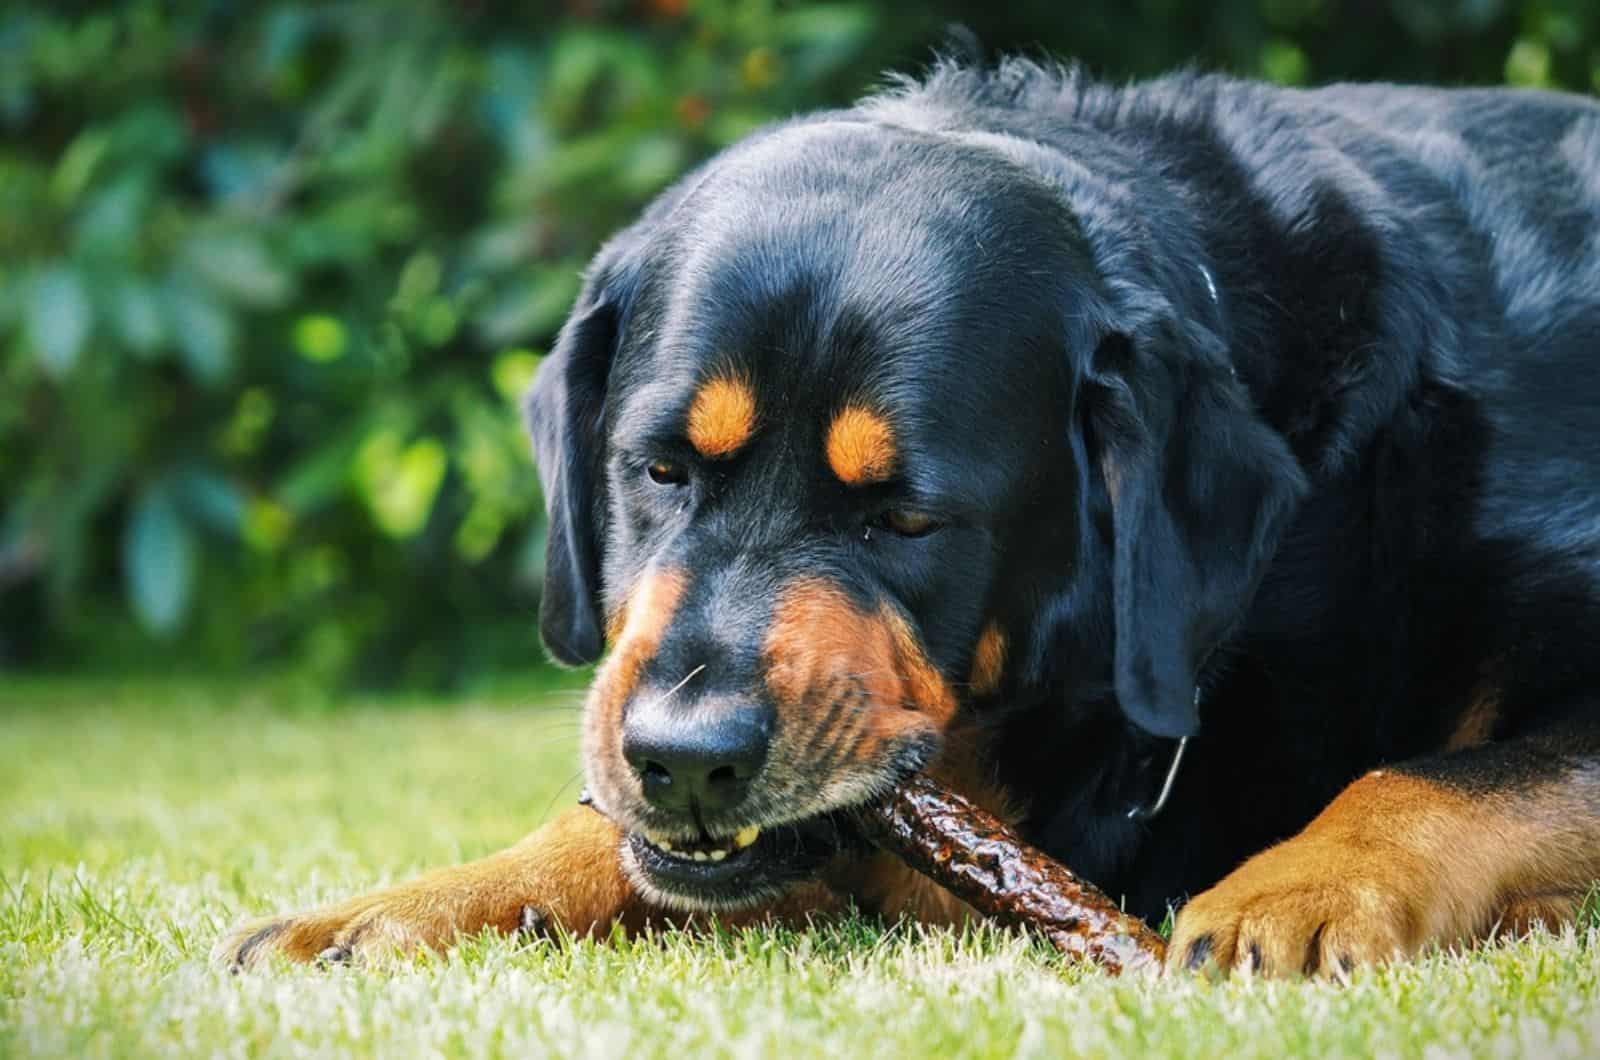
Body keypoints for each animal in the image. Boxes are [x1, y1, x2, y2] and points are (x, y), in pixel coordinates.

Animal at [216, 58, 1600, 979]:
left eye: (906, 520)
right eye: (658, 470)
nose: (686, 754)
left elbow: (1438, 776)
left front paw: (1296, 888)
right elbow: (603, 827)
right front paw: (417, 898)